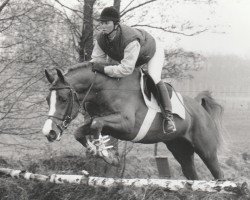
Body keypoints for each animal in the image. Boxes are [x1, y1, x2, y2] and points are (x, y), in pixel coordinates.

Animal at [42, 61, 225, 180]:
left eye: (63, 99)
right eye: (47, 99)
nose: (49, 132)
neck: (107, 89)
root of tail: (201, 110)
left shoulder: (127, 125)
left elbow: (96, 124)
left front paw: (105, 153)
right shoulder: (106, 122)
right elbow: (82, 131)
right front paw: (100, 152)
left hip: (206, 150)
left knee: (218, 174)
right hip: (180, 149)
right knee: (192, 176)